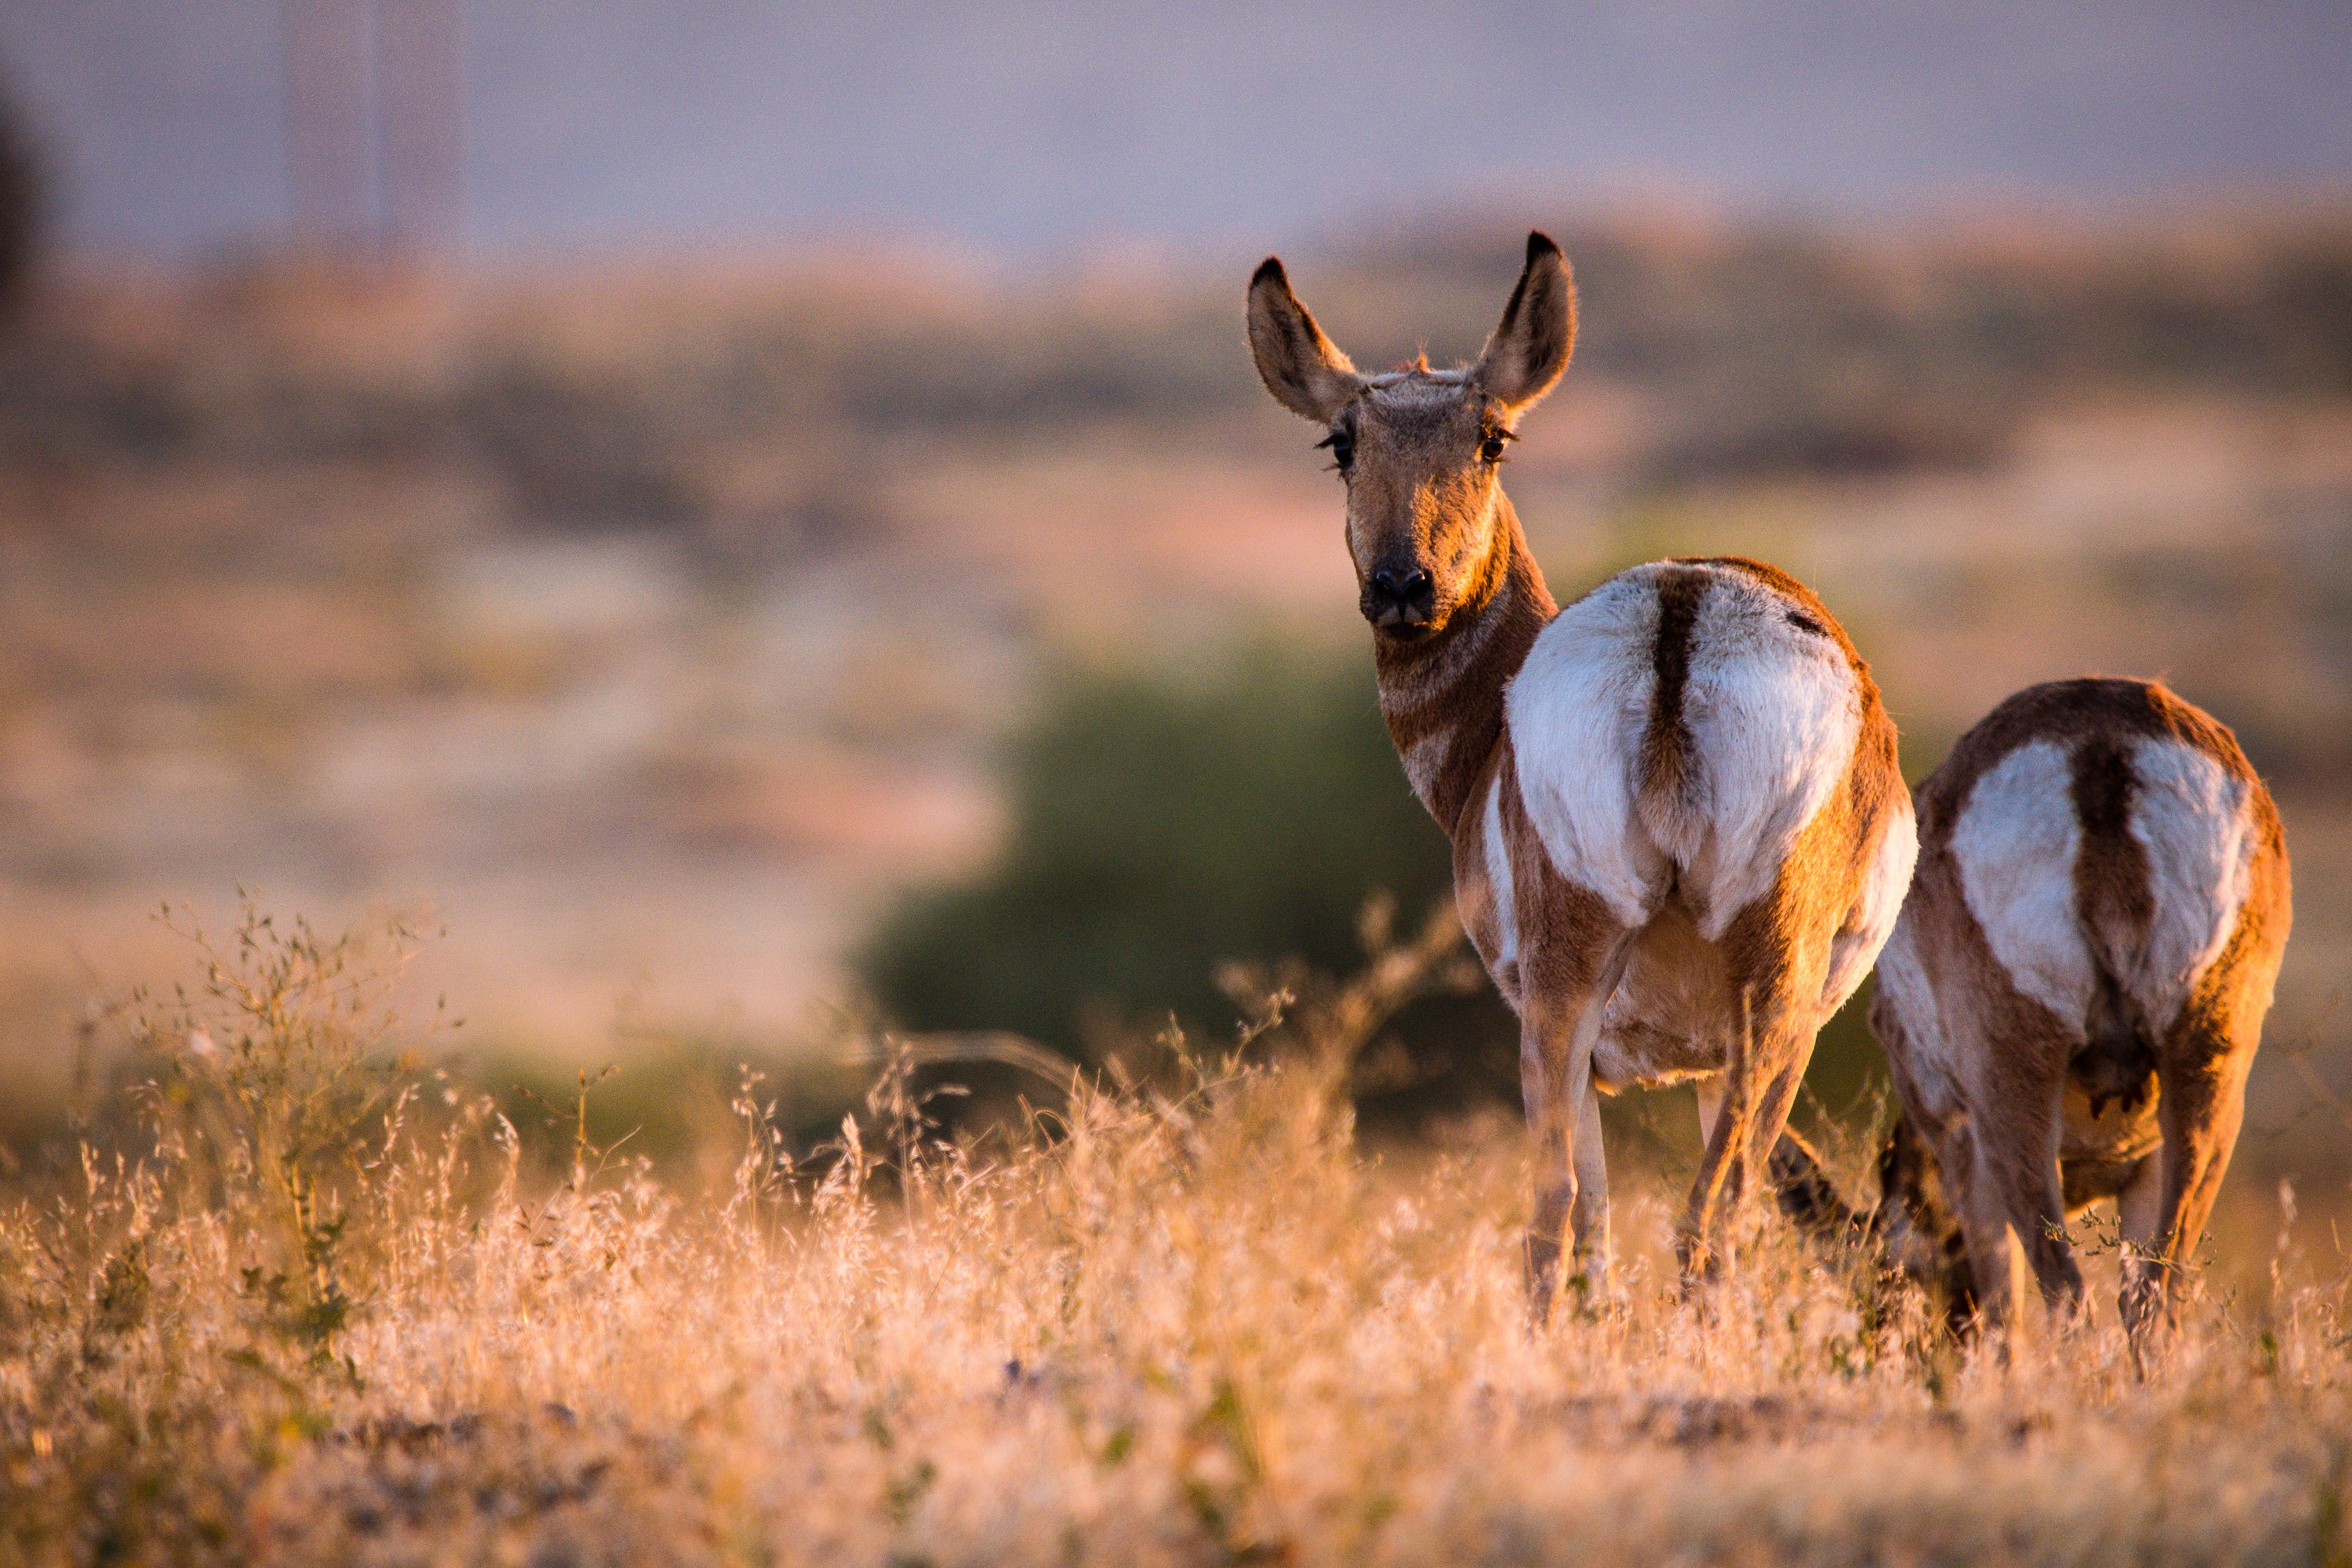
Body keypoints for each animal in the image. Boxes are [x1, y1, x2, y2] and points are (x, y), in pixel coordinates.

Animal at [1251, 232, 1909, 1316]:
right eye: (1339, 442)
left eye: (1491, 437)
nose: (1401, 587)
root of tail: (1678, 613)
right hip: (1738, 1009)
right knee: (1682, 1220)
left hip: (1611, 1011)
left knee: (1589, 1216)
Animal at [1863, 682, 2286, 1344]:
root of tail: (2099, 745)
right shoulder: (2144, 1169)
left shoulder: (1962, 1146)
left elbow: (2001, 1311)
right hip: (2207, 1081)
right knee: (2151, 1301)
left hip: (2013, 1106)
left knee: (2064, 1296)